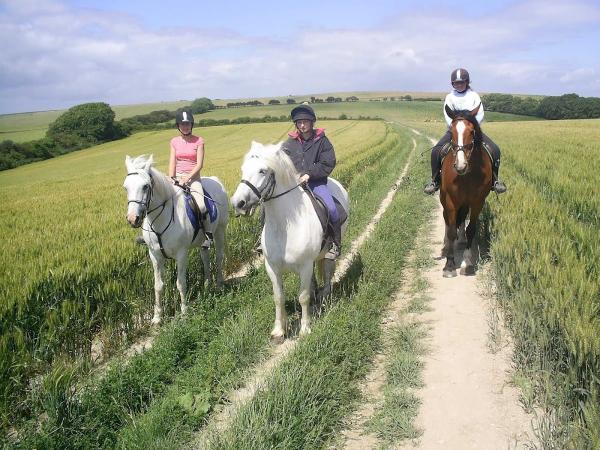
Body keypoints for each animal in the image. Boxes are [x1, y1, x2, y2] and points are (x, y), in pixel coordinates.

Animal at [123, 155, 229, 324]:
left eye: (145, 186)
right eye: (125, 187)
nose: (133, 219)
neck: (160, 220)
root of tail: (215, 180)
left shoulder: (181, 254)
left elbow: (181, 283)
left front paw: (184, 313)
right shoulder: (155, 256)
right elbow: (158, 286)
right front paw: (157, 317)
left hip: (220, 230)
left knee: (219, 257)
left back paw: (219, 285)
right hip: (203, 242)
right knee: (205, 259)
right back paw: (207, 285)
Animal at [440, 103, 492, 276]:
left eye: (472, 131)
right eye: (452, 131)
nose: (460, 165)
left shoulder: (477, 202)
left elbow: (471, 229)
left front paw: (467, 263)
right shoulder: (450, 201)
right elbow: (451, 231)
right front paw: (449, 265)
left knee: (462, 219)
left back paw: (461, 240)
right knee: (447, 220)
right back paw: (445, 246)